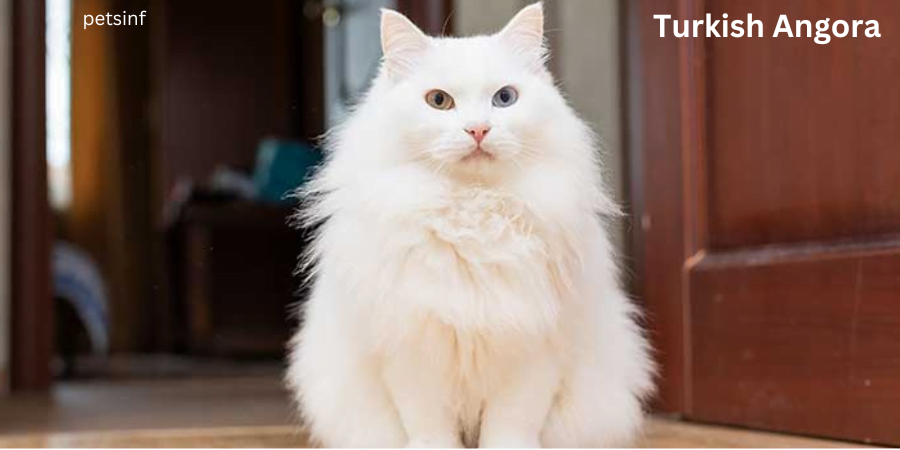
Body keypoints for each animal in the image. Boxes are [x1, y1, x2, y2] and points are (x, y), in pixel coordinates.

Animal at [288, 2, 652, 446]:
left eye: (504, 98)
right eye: (439, 101)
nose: (478, 129)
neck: (472, 211)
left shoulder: (533, 350)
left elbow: (512, 423)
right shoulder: (412, 350)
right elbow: (429, 424)